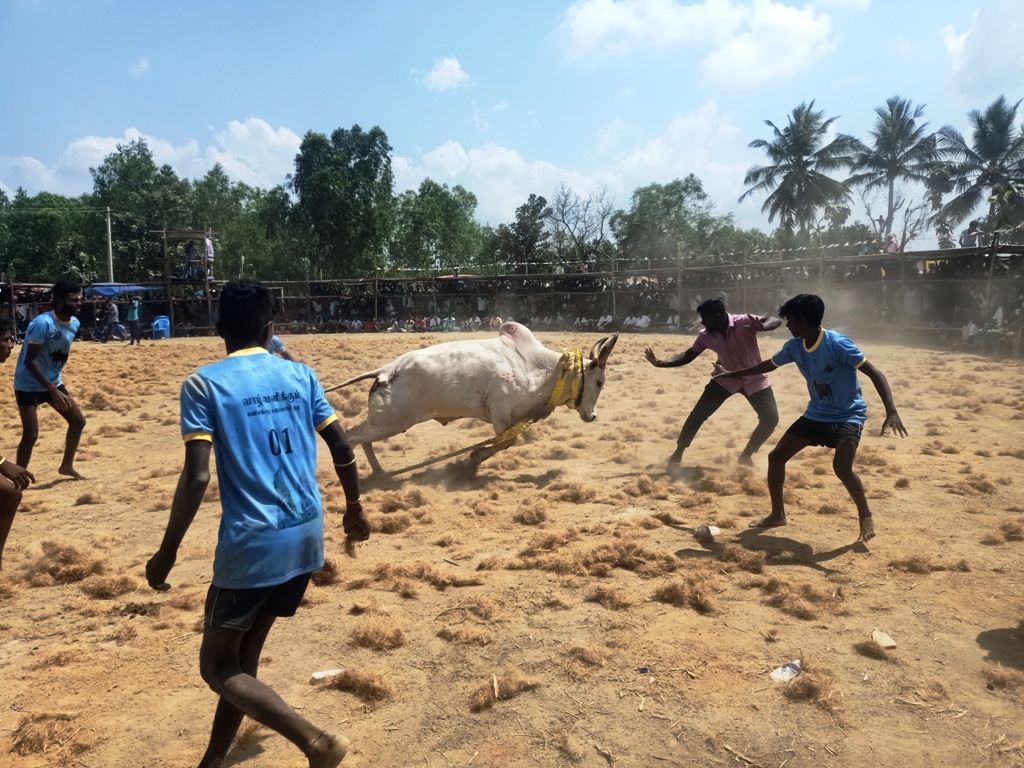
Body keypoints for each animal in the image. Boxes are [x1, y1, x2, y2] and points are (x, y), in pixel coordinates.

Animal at [333, 319, 614, 475]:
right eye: (599, 382)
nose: (592, 415)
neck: (544, 369)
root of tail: (386, 371)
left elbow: (507, 442)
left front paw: (475, 458)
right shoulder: (500, 413)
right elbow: (507, 442)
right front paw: (473, 459)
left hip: (384, 423)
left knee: (362, 439)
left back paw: (379, 471)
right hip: (390, 422)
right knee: (353, 436)